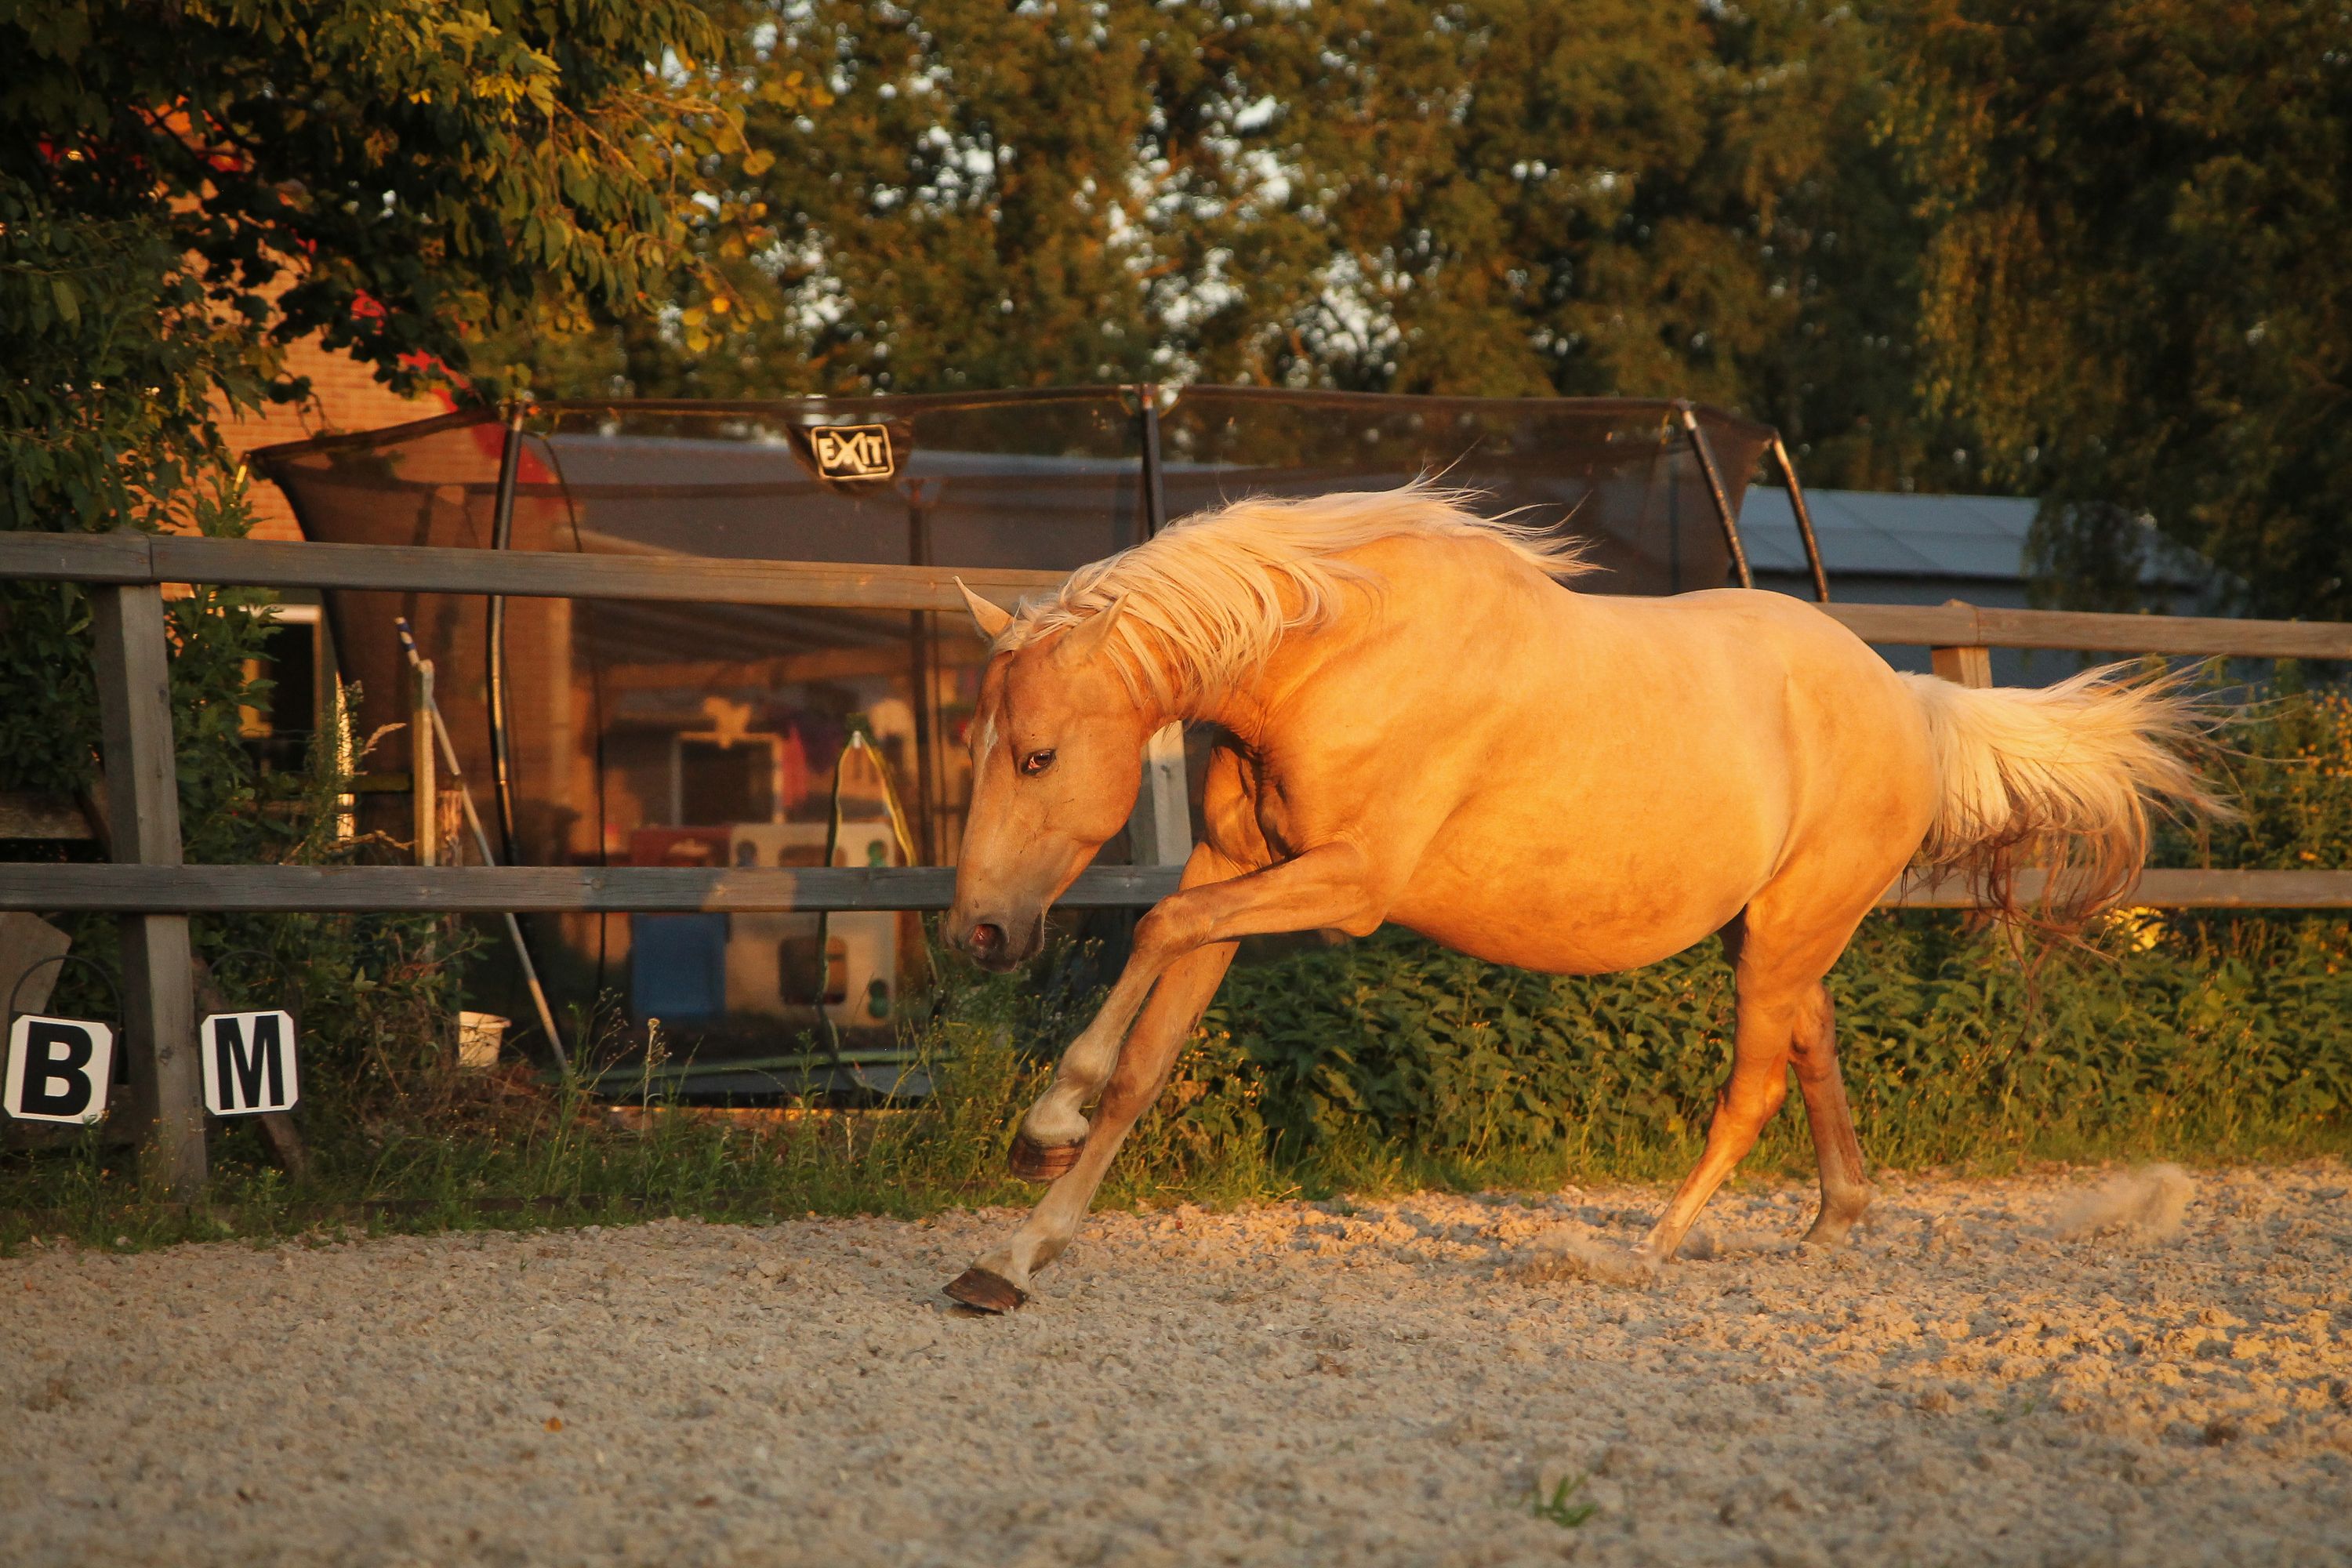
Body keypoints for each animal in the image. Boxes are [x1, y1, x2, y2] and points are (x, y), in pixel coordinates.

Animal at [936, 483, 2220, 1312]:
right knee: (1813, 1049)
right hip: (1778, 934)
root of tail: (1910, 699)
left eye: (1038, 756)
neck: (1336, 653)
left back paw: (1645, 1253)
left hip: (1785, 934)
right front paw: (1014, 1255)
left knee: (1754, 1087)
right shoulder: (1229, 868)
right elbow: (1149, 1057)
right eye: (980, 744)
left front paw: (1043, 1128)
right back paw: (1832, 1222)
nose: (980, 932)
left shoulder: (1343, 886)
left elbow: (1151, 930)